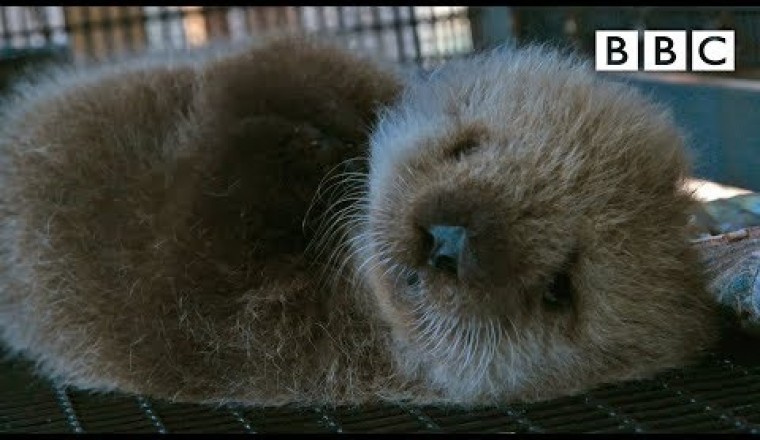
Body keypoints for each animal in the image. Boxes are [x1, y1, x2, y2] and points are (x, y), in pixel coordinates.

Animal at [0, 37, 719, 407]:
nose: (448, 239)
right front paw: (333, 115)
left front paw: (297, 141)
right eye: (467, 147)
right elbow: (294, 63)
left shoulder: (215, 313)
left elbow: (199, 223)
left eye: (559, 289)